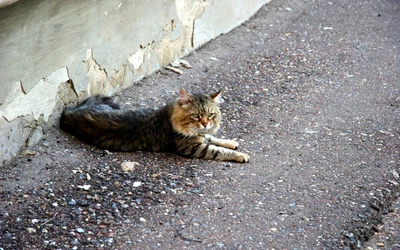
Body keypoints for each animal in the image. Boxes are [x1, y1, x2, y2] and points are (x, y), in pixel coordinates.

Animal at [59, 89, 248, 163]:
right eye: (195, 116)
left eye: (210, 115)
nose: (205, 123)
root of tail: (68, 113)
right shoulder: (193, 147)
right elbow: (219, 150)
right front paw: (240, 155)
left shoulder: (201, 137)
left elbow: (214, 138)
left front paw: (231, 142)